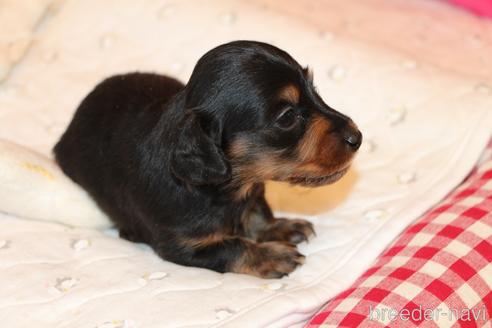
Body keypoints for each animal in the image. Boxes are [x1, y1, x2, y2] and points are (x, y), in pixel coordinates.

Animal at [54, 39, 362, 278]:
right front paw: (271, 255)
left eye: (315, 91)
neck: (230, 188)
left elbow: (257, 212)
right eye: (287, 117)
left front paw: (282, 227)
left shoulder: (252, 193)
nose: (357, 138)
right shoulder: (183, 245)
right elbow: (232, 246)